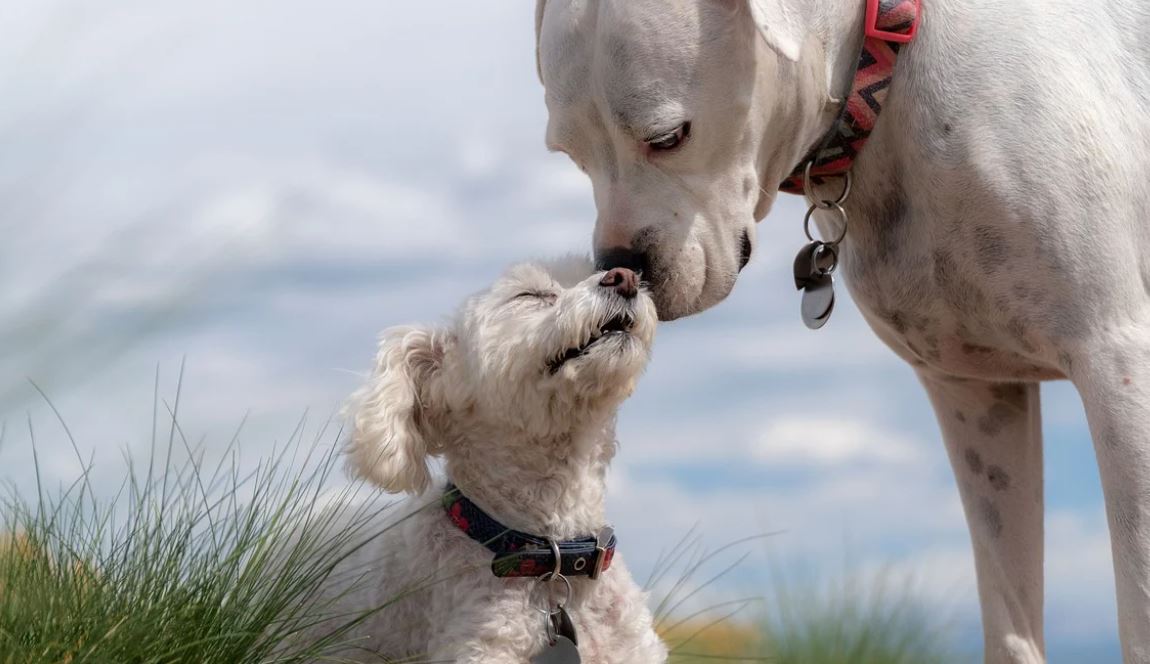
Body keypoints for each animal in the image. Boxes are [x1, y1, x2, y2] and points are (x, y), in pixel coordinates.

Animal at [533, 1, 1150, 662]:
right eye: (571, 154)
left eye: (669, 137)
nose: (621, 266)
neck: (888, 63)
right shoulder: (977, 398)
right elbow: (1010, 622)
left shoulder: (1118, 365)